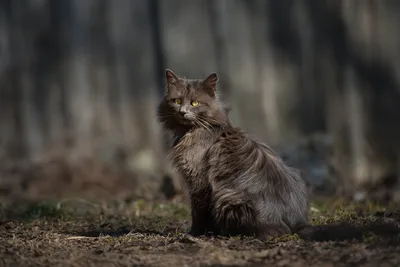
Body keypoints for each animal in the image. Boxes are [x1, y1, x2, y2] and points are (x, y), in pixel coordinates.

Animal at [156, 70, 310, 240]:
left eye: (195, 103)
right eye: (177, 101)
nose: (182, 112)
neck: (193, 131)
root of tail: (297, 222)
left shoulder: (199, 182)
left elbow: (198, 211)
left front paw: (195, 234)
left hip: (228, 198)